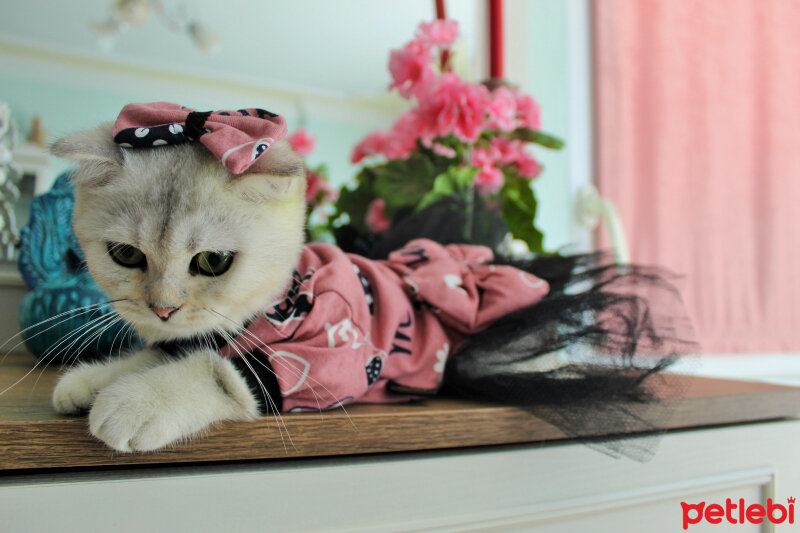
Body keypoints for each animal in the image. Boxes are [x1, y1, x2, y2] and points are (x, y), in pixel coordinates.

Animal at [50, 122, 306, 450]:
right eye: (126, 253)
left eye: (213, 260)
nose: (162, 310)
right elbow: (161, 351)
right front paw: (94, 379)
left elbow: (219, 372)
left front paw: (135, 401)